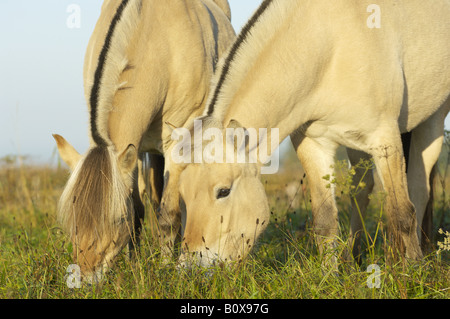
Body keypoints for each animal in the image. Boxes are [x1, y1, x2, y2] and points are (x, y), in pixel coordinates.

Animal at [53, 0, 236, 282]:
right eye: (73, 218)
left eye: (117, 219)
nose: (83, 278)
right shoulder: (135, 150)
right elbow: (139, 209)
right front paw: (133, 263)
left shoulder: (177, 144)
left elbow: (169, 214)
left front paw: (165, 265)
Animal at [161, 0, 450, 268]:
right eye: (183, 195)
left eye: (223, 191)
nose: (190, 267)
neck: (330, 47)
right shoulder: (313, 144)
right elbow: (325, 221)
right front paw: (331, 275)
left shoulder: (384, 139)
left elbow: (402, 213)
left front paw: (411, 272)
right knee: (362, 188)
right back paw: (353, 257)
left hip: (431, 122)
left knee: (418, 189)